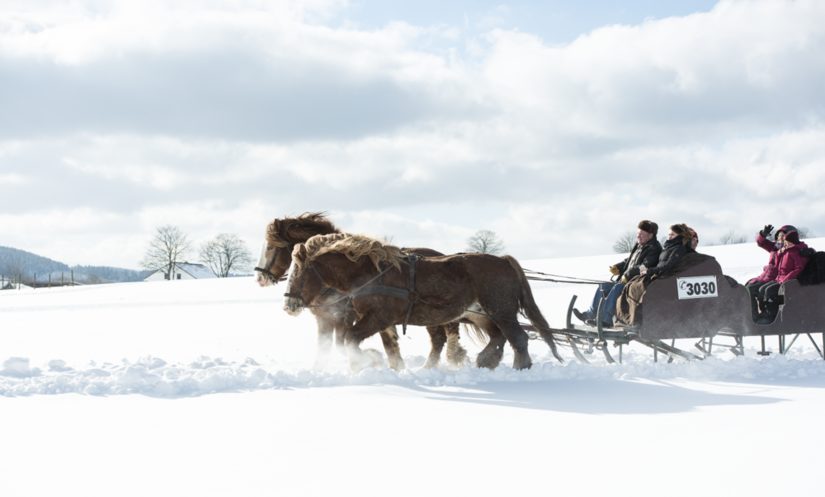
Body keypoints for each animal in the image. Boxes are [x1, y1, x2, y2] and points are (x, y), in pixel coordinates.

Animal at [254, 211, 466, 370]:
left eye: (271, 247)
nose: (260, 278)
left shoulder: (344, 316)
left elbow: (341, 344)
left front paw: (373, 358)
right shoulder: (325, 318)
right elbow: (324, 347)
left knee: (441, 338)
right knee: (440, 338)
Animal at [282, 232, 560, 368]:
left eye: (300, 271)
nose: (289, 304)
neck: (369, 273)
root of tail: (503, 260)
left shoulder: (377, 317)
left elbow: (349, 339)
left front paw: (366, 361)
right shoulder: (373, 320)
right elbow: (363, 342)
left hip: (501, 310)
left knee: (518, 338)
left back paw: (519, 367)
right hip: (480, 313)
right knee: (498, 337)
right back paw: (484, 362)